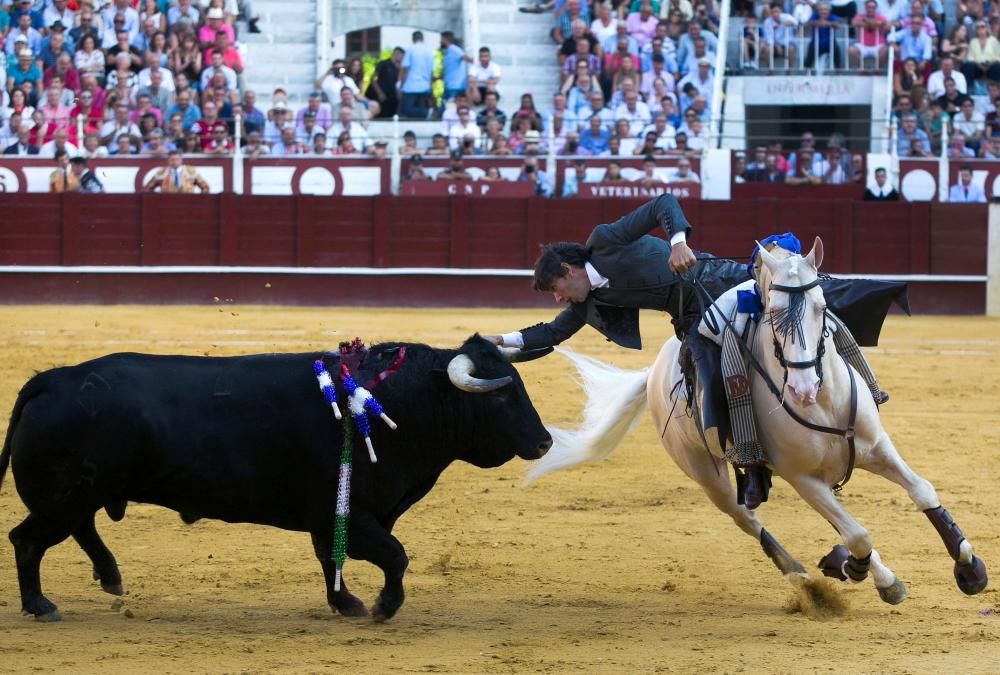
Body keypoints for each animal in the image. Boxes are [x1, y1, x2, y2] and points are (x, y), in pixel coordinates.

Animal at [0, 336, 556, 624]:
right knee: (28, 539)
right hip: (64, 495)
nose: (545, 442)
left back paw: (110, 576)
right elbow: (394, 556)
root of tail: (52, 379)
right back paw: (40, 606)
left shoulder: (337, 516)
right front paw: (381, 606)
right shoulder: (350, 513)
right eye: (501, 396)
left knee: (76, 529)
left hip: (81, 493)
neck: (401, 401)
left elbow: (332, 559)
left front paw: (346, 603)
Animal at [528, 239, 988, 608]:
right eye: (772, 314)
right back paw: (810, 579)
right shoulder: (803, 478)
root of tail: (653, 373)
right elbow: (858, 535)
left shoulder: (877, 448)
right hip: (706, 475)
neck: (821, 405)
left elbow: (921, 491)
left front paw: (969, 569)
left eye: (822, 308)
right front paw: (849, 567)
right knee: (749, 519)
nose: (802, 388)